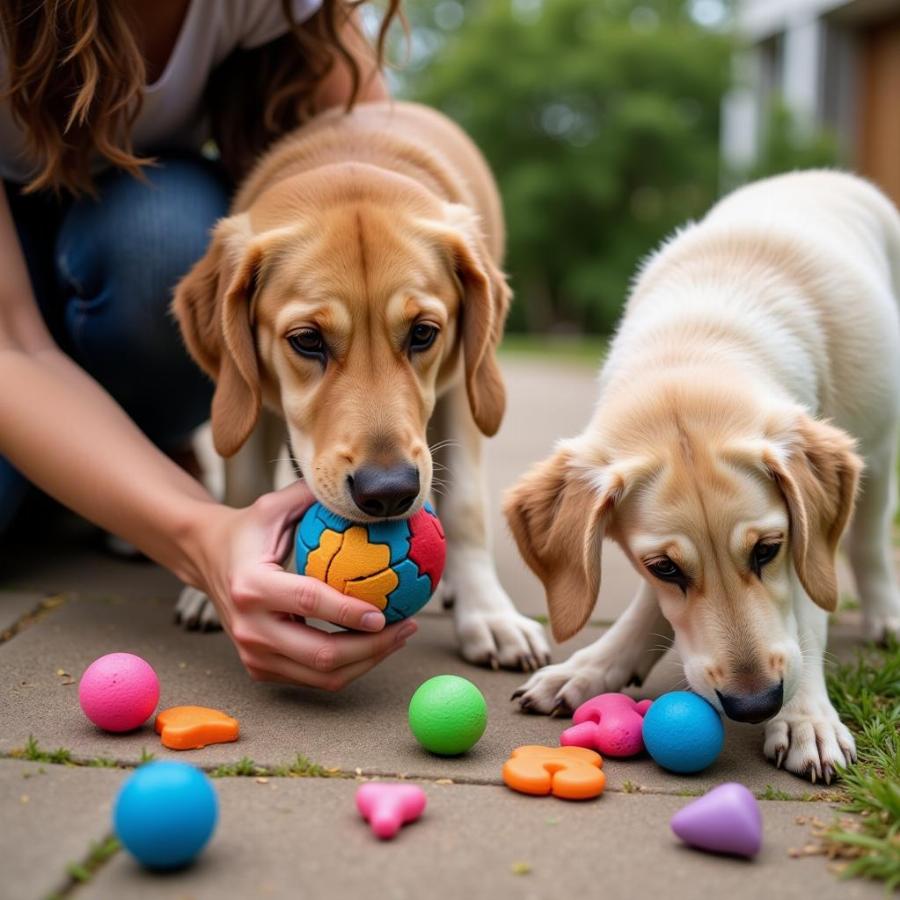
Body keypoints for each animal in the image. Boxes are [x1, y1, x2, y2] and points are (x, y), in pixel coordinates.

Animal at [169, 102, 548, 672]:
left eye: (423, 333)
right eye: (307, 340)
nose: (389, 493)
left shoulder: (464, 388)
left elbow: (464, 505)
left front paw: (488, 614)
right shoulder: (247, 395)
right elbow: (244, 485)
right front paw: (216, 583)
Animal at [506, 171, 900, 780]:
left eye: (768, 550)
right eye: (664, 567)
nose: (754, 704)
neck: (697, 337)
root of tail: (823, 175)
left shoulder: (805, 537)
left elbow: (808, 613)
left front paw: (807, 717)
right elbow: (651, 604)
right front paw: (595, 665)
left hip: (879, 443)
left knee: (870, 543)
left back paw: (884, 616)